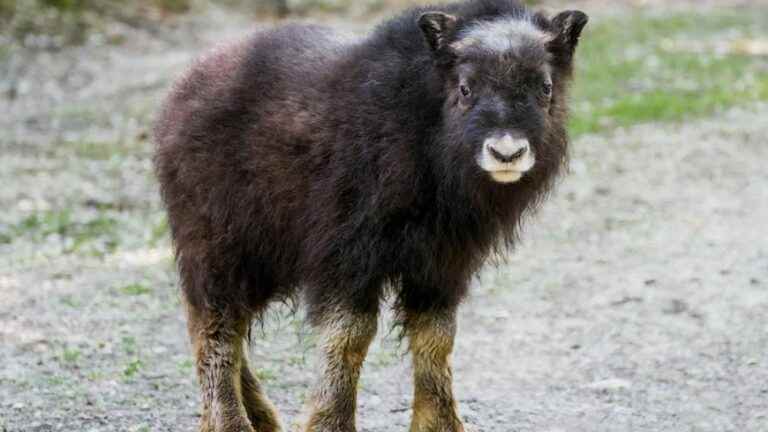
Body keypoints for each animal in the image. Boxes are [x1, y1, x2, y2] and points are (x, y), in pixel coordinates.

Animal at [154, 0, 588, 432]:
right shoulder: (347, 256)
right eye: (466, 88)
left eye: (545, 87)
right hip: (218, 246)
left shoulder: (442, 263)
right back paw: (232, 422)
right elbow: (350, 335)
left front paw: (440, 424)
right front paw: (329, 423)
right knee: (215, 325)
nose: (506, 153)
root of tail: (183, 88)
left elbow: (437, 336)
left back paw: (263, 418)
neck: (421, 127)